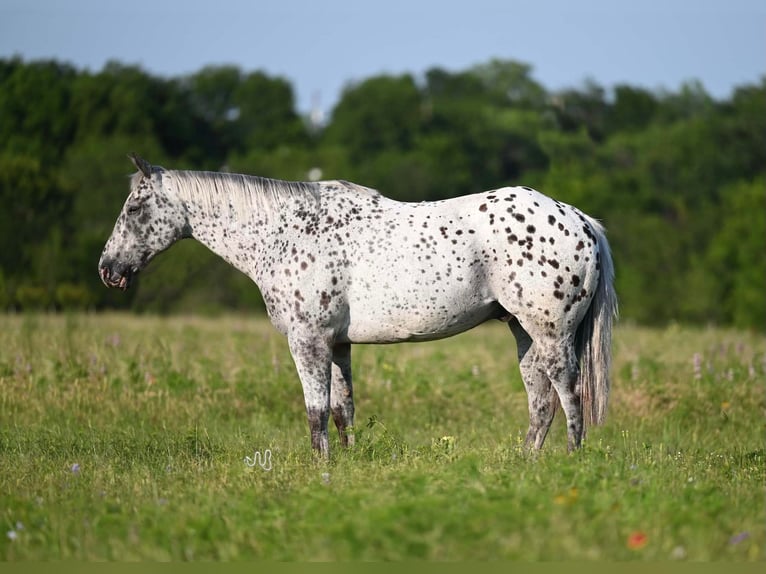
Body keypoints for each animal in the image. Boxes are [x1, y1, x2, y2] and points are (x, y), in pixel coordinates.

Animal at [100, 154, 616, 460]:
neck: (284, 230)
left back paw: (570, 462)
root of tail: (579, 219)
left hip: (550, 334)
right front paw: (345, 466)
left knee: (569, 394)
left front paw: (320, 468)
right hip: (524, 333)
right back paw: (526, 463)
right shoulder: (338, 345)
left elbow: (315, 410)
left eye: (133, 209)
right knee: (541, 402)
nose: (108, 269)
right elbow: (342, 408)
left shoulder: (308, 341)